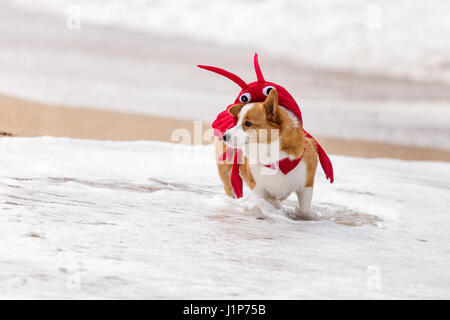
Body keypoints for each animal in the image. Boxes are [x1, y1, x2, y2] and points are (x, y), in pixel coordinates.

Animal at [215, 89, 318, 219]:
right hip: (226, 172)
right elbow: (271, 202)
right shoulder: (259, 189)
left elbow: (304, 210)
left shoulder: (306, 186)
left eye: (248, 123)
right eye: (237, 121)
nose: (224, 136)